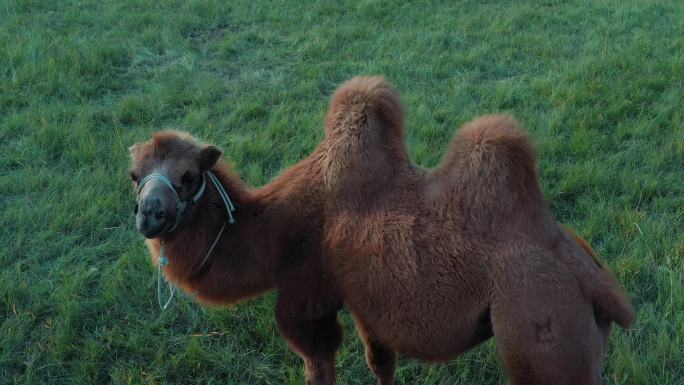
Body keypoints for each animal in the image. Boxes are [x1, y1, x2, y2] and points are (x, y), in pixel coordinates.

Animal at [130, 76, 636, 384]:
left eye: (188, 176)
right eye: (135, 175)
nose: (148, 216)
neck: (270, 232)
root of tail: (597, 282)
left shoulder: (307, 300)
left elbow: (319, 363)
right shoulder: (364, 304)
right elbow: (381, 364)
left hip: (539, 331)